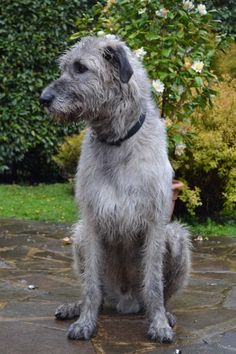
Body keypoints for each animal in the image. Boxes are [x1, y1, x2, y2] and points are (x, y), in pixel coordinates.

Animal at [40, 36, 191, 342]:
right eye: (64, 68)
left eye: (81, 68)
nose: (43, 99)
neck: (117, 141)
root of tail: (125, 301)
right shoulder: (92, 223)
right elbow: (90, 287)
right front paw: (86, 322)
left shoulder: (156, 223)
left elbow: (154, 285)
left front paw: (158, 324)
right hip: (79, 237)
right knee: (97, 293)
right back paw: (76, 307)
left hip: (177, 237)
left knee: (158, 293)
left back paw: (165, 314)